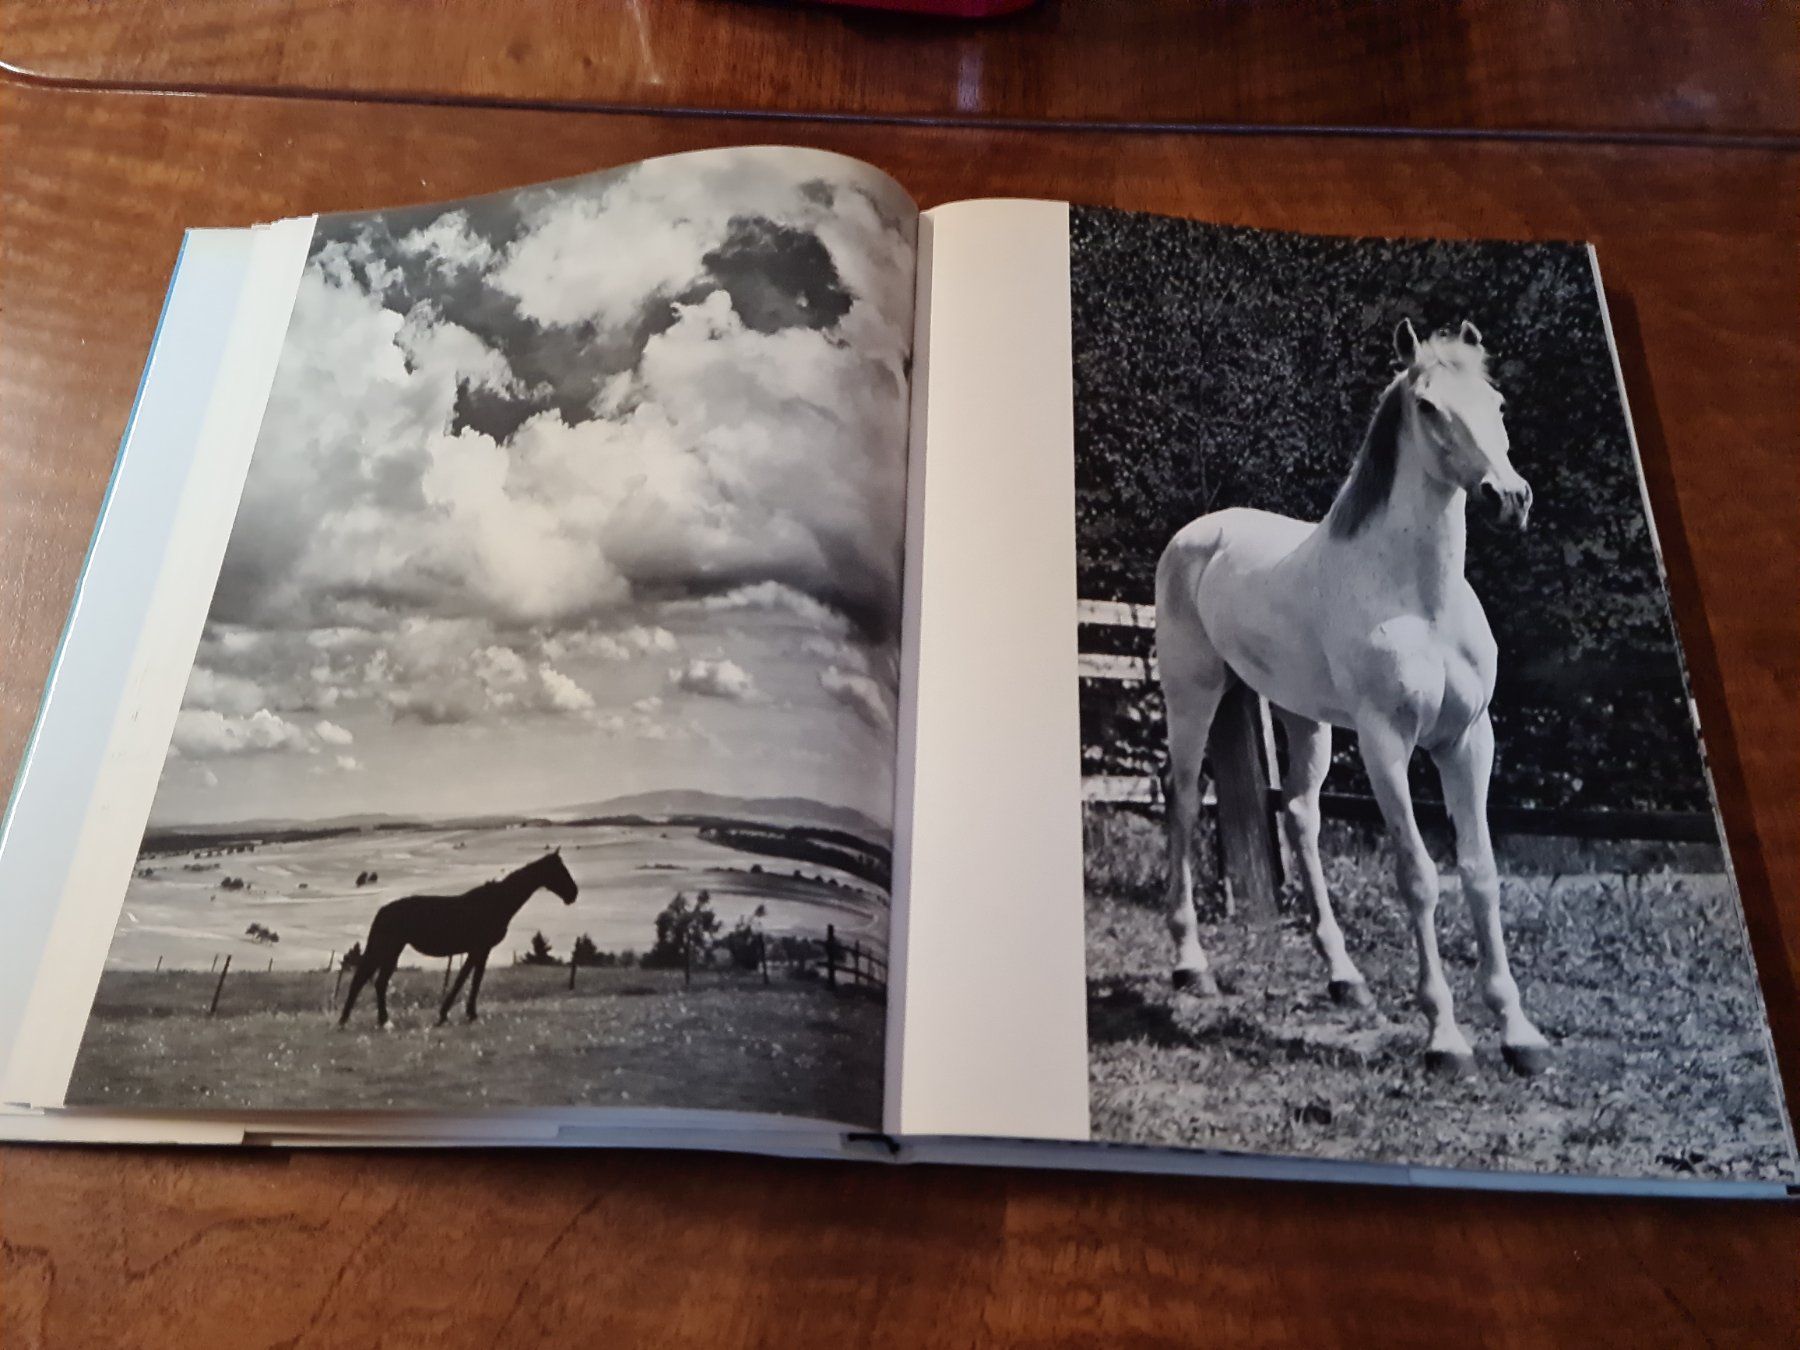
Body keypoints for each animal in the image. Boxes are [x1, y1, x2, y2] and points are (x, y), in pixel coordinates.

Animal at [337, 849, 578, 1029]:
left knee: (378, 981)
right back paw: (355, 1020)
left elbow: (471, 978)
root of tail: (383, 911)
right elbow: (467, 979)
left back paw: (378, 1020)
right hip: (387, 948)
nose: (573, 894)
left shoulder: (481, 950)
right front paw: (452, 1014)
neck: (496, 902)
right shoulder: (479, 948)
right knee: (366, 980)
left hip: (392, 951)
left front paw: (462, 1013)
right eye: (560, 870)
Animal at [1154, 319, 1550, 1078]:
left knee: (1300, 816)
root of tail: (1197, 533)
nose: (1507, 499)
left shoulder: (1468, 740)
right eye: (1427, 406)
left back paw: (1345, 978)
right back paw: (1190, 965)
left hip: (1302, 719)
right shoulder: (1385, 743)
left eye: (1499, 402)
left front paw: (1520, 1034)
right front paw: (1446, 1039)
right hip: (1193, 694)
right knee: (1184, 799)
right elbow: (1419, 875)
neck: (1419, 602)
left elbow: (1480, 872)